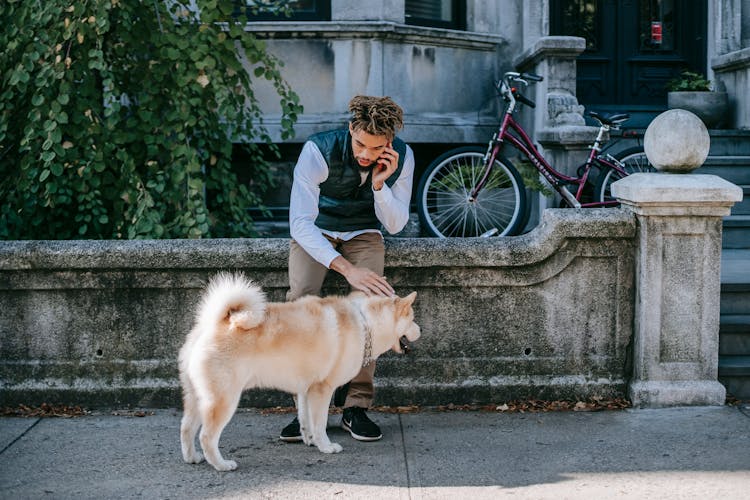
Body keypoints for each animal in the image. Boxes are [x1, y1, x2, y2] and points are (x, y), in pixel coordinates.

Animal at [179, 272, 420, 470]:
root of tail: (212, 325)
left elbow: (307, 420)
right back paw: (221, 464)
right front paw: (326, 446)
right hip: (224, 400)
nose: (420, 330)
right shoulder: (322, 390)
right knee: (206, 436)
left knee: (186, 429)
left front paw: (310, 439)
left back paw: (192, 458)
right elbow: (320, 423)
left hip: (196, 398)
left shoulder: (306, 390)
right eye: (413, 318)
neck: (365, 322)